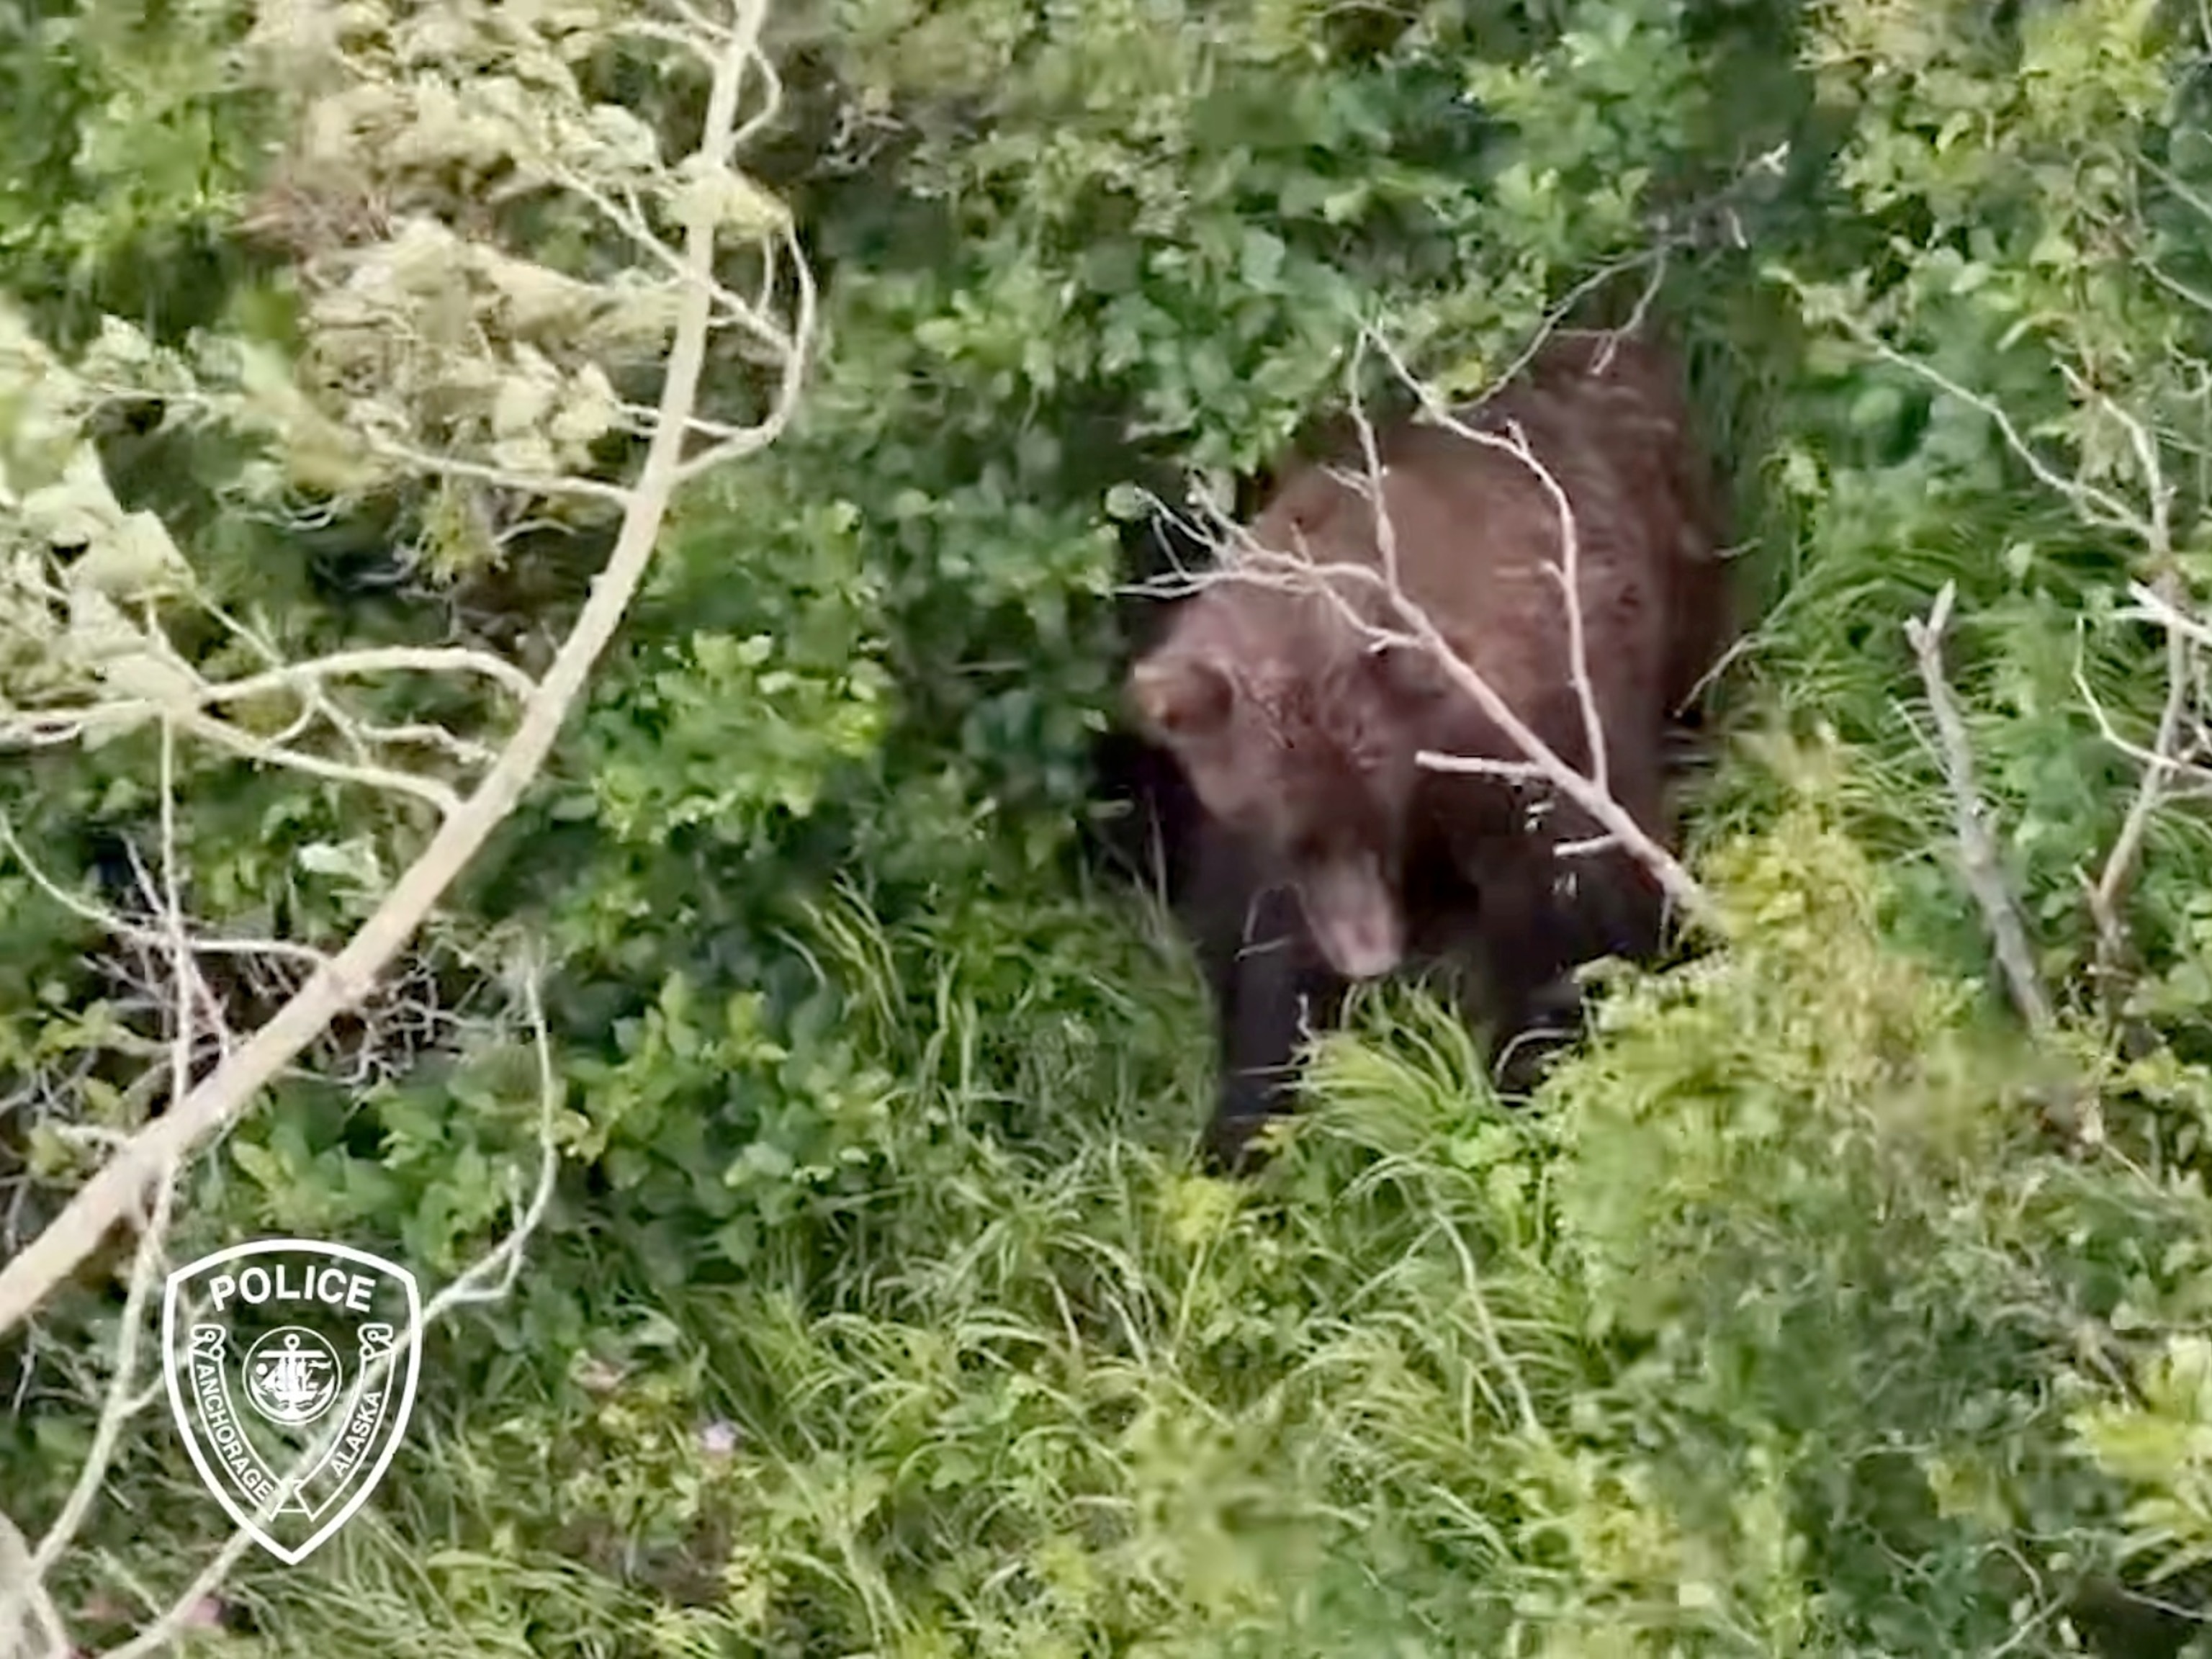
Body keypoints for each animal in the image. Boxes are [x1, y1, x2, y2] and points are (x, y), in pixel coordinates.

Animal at [1122, 329, 1734, 1169]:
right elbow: (1258, 958)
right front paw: (1244, 1125)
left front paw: (1530, 1068)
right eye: (1284, 821)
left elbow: (1575, 902)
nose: (1369, 955)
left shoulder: (1527, 743)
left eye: (1369, 800)